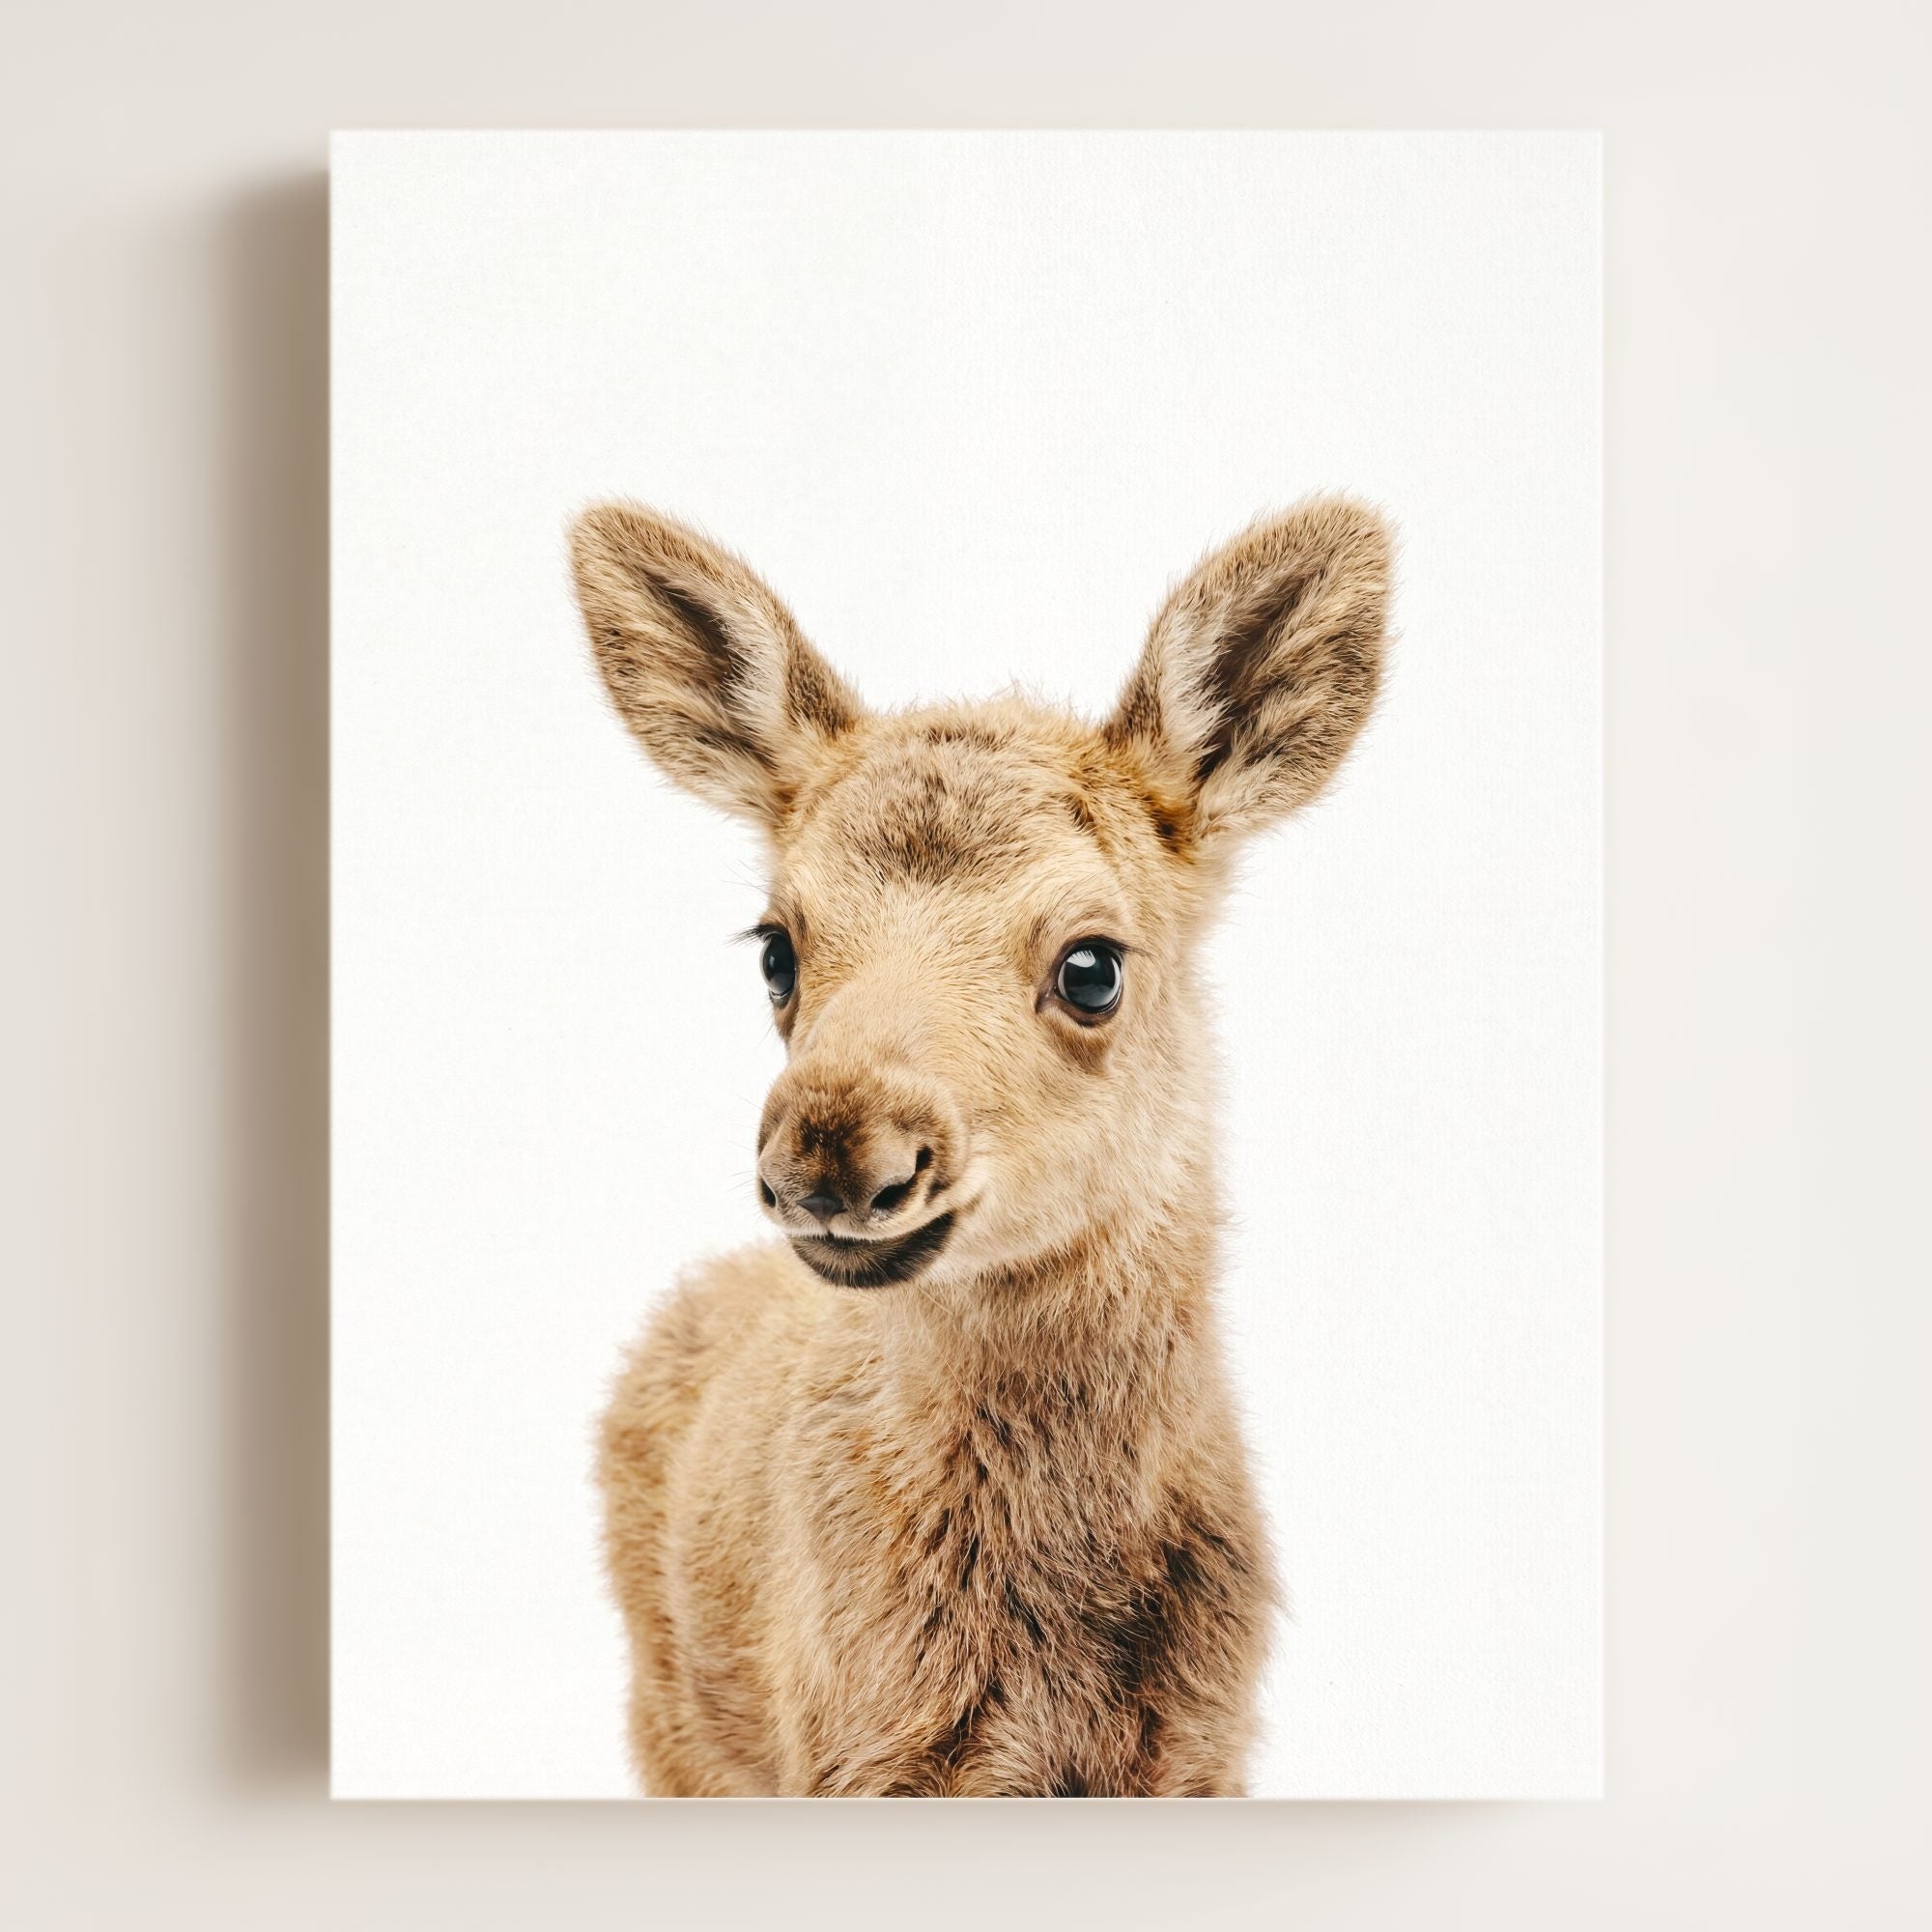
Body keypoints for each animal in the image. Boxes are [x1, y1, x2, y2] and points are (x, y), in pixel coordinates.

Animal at [570, 493, 1392, 1796]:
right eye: (777, 947)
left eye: (1091, 964)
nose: (833, 1151)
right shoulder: (850, 1751)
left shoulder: (1204, 1750)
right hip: (671, 1723)